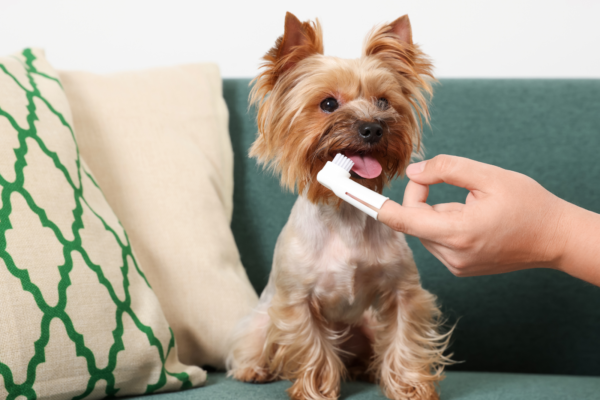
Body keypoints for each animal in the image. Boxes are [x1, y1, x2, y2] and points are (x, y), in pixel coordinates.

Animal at [227, 12, 453, 400]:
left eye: (384, 102)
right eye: (328, 104)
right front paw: (316, 390)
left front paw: (410, 386)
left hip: (367, 325)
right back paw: (255, 369)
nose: (373, 128)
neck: (343, 208)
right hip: (262, 319)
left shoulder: (403, 292)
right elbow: (312, 346)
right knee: (255, 342)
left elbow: (404, 336)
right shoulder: (296, 302)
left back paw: (364, 368)